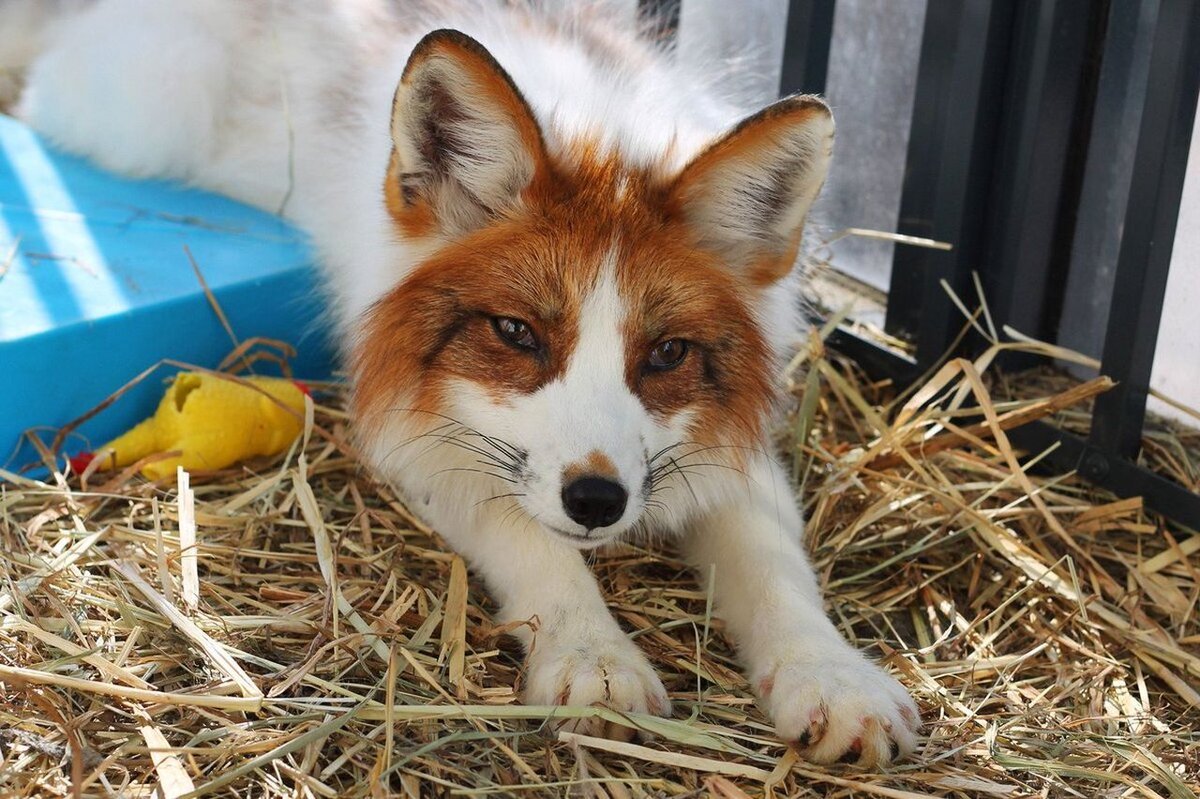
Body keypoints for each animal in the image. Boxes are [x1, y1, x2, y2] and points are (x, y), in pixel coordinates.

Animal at [4, 0, 921, 765]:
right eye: (516, 333)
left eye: (665, 353)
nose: (598, 502)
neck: (595, 121)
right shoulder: (410, 427)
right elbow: (532, 542)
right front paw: (591, 651)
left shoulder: (727, 447)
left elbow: (774, 565)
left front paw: (830, 674)